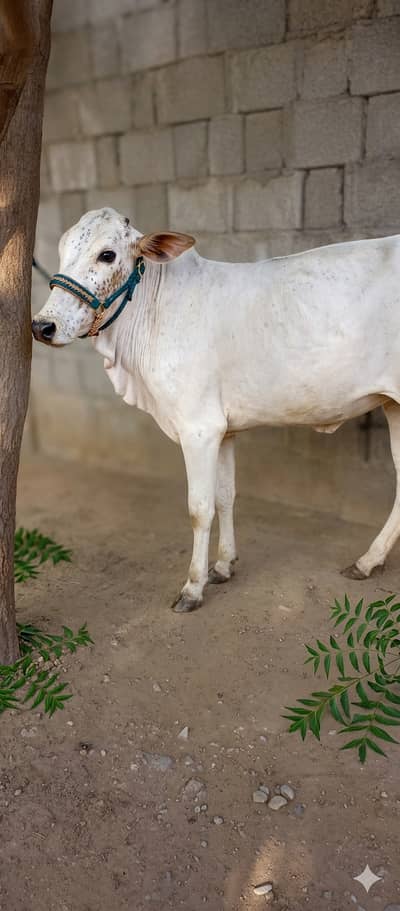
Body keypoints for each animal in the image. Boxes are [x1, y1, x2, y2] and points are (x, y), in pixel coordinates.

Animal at [32, 207, 400, 612]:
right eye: (63, 248)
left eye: (107, 255)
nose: (43, 326)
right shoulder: (223, 431)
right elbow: (226, 497)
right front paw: (224, 565)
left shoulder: (199, 428)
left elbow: (200, 508)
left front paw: (194, 586)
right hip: (394, 407)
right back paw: (367, 562)